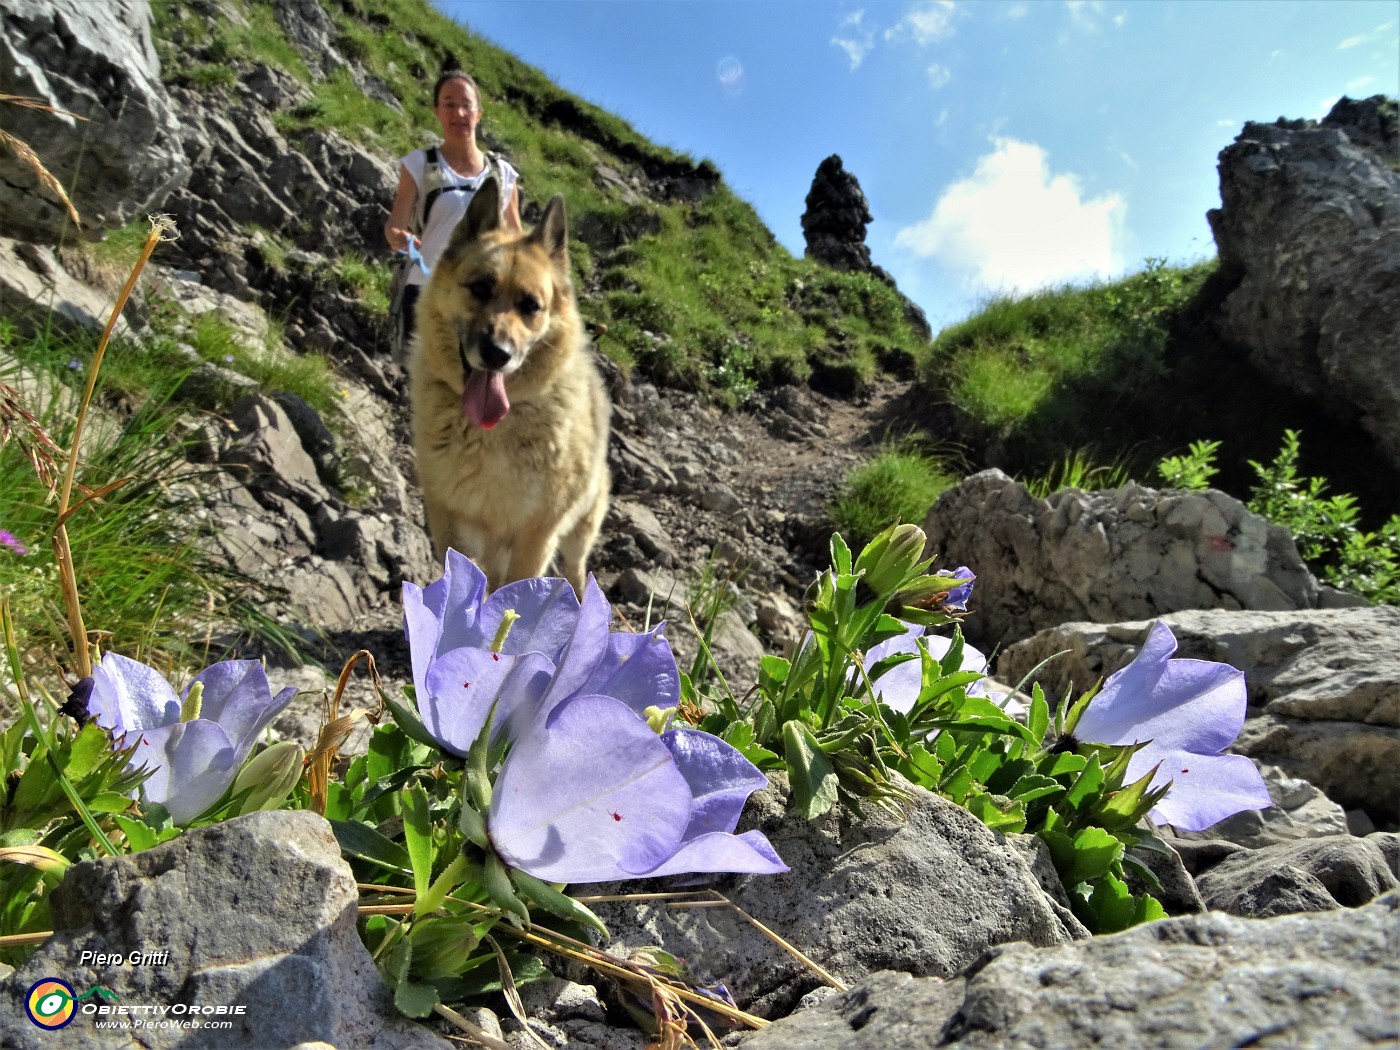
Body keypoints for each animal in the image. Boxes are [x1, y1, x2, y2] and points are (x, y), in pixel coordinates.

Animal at [408, 177, 613, 596]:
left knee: (576, 571)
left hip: (578, 533)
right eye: (480, 288)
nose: (496, 354)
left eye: (530, 305)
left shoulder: (537, 535)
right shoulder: (451, 521)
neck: (490, 431)